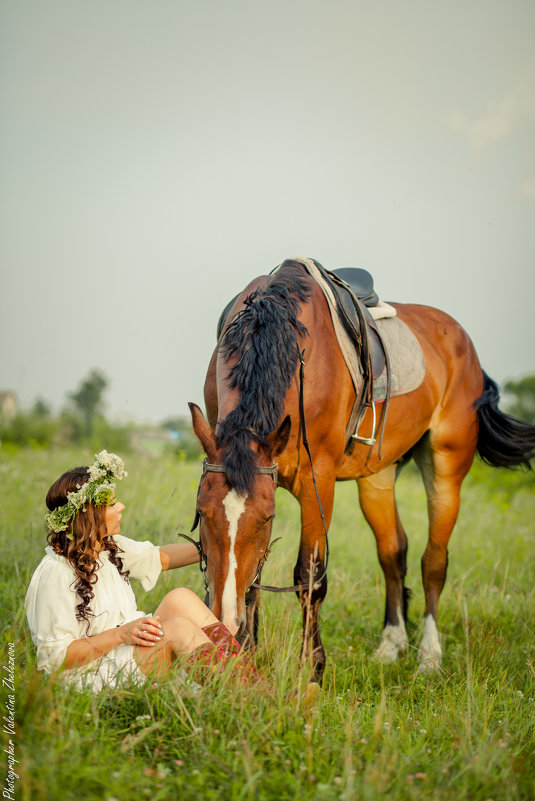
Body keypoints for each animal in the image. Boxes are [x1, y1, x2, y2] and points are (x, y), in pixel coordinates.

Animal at [189, 256, 535, 680]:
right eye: (201, 512)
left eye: (267, 518)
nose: (225, 619)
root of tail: (463, 342)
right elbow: (253, 579)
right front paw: (246, 655)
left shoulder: (317, 482)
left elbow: (309, 577)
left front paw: (313, 667)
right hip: (377, 478)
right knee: (393, 554)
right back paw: (391, 646)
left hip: (446, 468)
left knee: (434, 561)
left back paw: (429, 656)